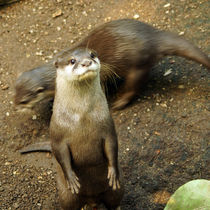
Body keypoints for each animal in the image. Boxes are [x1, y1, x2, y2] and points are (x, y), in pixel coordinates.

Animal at [14, 18, 210, 110]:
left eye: (24, 101)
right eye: (14, 95)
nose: (16, 106)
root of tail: (153, 37)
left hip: (136, 64)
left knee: (135, 85)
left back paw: (120, 102)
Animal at [49, 48, 123, 210]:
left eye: (92, 54)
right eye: (72, 61)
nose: (87, 62)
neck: (82, 117)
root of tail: (92, 200)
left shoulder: (107, 126)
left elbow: (112, 145)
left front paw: (113, 172)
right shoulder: (57, 134)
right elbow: (60, 153)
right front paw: (71, 178)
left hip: (114, 192)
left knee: (114, 202)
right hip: (66, 197)